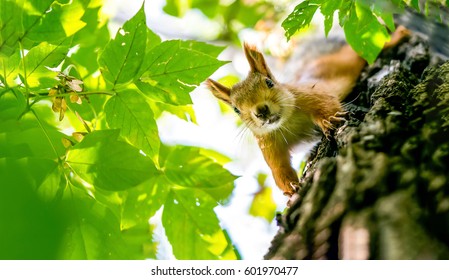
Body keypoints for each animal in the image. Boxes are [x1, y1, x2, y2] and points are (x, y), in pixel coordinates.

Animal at [206, 26, 410, 197]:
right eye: (236, 109)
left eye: (269, 82)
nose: (261, 110)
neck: (287, 122)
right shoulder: (267, 143)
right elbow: (279, 168)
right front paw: (291, 187)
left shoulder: (312, 94)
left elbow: (326, 105)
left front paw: (330, 121)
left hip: (350, 58)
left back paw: (400, 34)